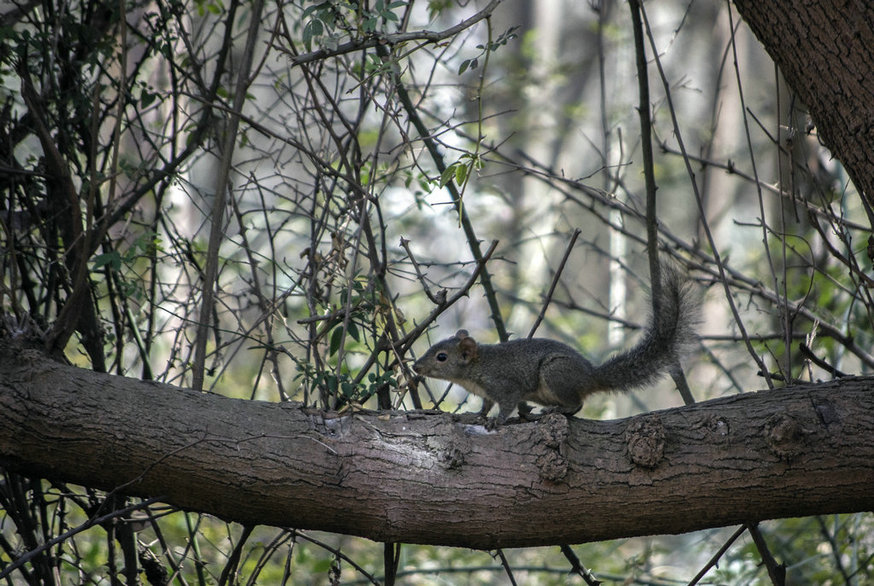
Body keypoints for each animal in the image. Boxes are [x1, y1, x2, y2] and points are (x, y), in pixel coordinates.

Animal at [412, 264, 700, 424]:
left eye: (441, 357)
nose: (416, 367)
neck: (476, 368)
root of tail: (591, 376)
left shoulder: (505, 385)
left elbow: (506, 404)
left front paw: (496, 422)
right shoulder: (486, 394)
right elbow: (485, 406)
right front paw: (478, 416)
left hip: (555, 373)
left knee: (577, 404)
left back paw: (555, 410)